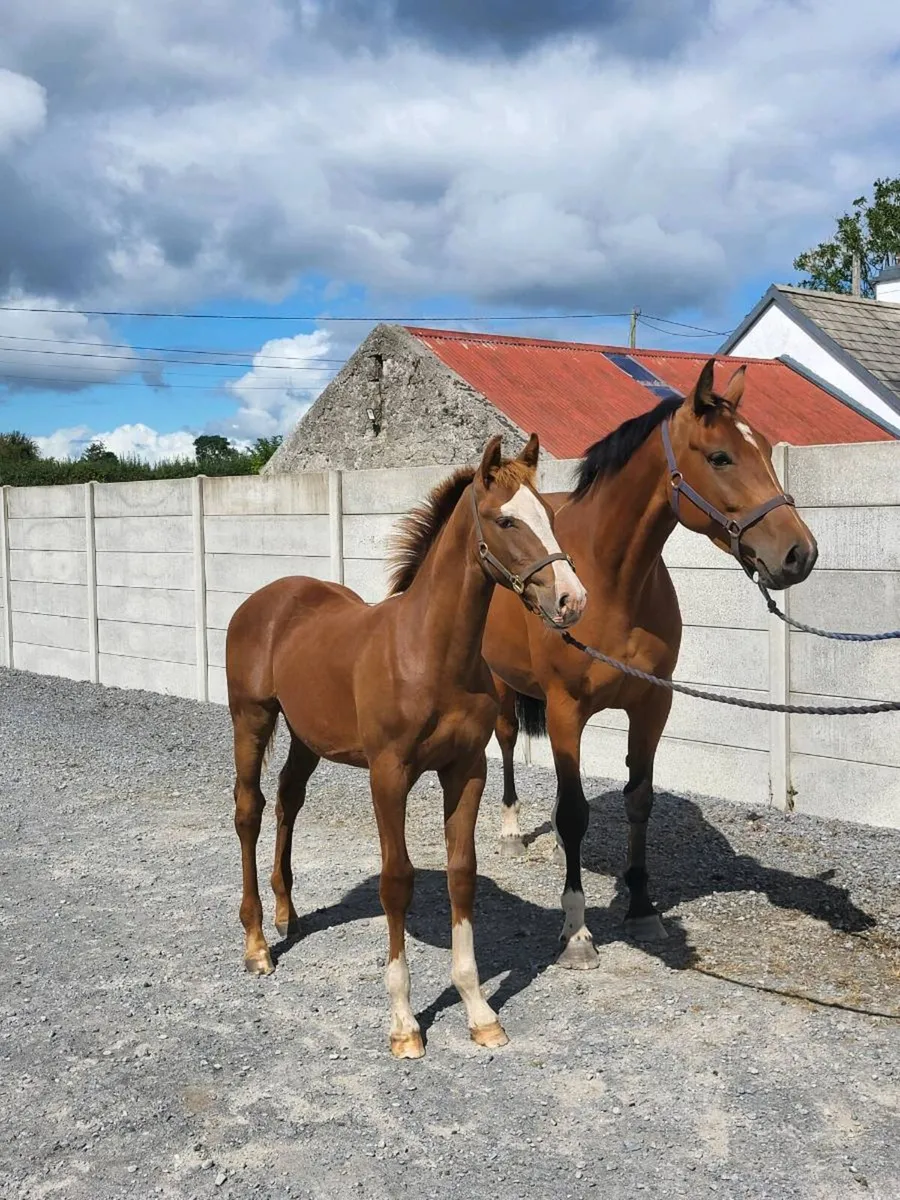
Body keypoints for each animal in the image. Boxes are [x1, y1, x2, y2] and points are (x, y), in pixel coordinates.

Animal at [225, 433, 587, 1058]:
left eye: (549, 515)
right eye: (506, 519)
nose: (571, 600)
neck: (429, 654)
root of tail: (265, 600)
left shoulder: (466, 770)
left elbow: (462, 872)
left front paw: (478, 1010)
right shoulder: (388, 774)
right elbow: (397, 882)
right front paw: (404, 1023)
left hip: (305, 735)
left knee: (289, 800)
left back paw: (288, 914)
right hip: (251, 719)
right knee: (250, 810)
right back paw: (257, 946)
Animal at [481, 359, 819, 969]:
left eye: (763, 448)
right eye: (720, 457)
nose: (799, 554)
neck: (613, 581)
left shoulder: (652, 704)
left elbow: (639, 801)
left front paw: (641, 908)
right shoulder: (565, 710)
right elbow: (575, 813)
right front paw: (577, 933)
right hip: (499, 684)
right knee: (508, 742)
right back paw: (512, 832)